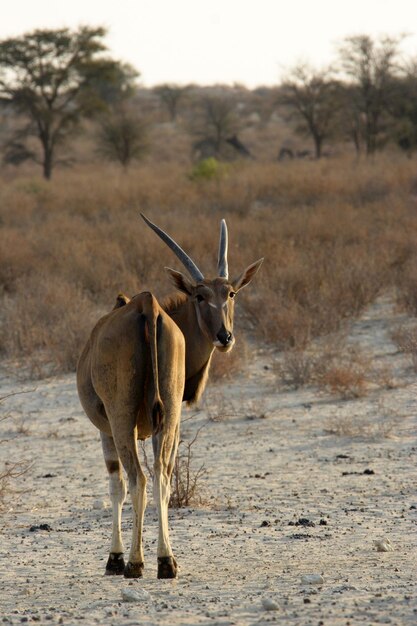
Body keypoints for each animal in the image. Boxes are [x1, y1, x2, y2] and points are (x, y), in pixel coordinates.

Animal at [76, 213, 262, 576]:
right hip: (169, 418)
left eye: (231, 293)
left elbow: (117, 485)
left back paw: (135, 562)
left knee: (139, 479)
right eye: (201, 296)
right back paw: (166, 560)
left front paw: (115, 557)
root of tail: (148, 307)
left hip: (121, 420)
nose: (225, 336)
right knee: (162, 475)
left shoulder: (106, 429)